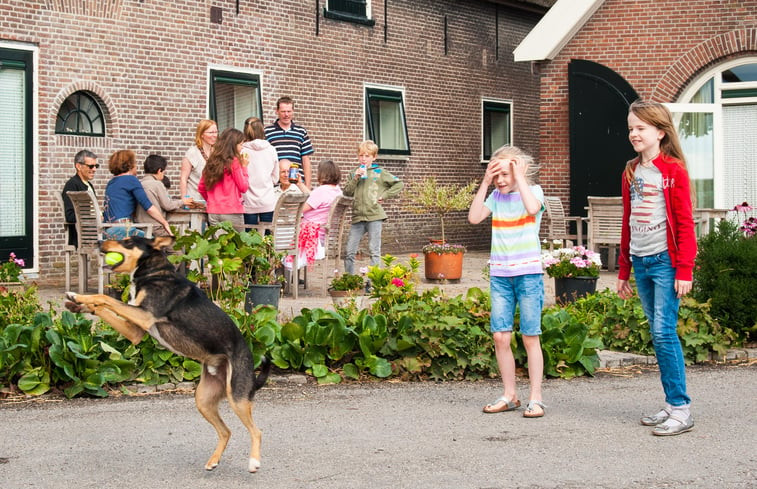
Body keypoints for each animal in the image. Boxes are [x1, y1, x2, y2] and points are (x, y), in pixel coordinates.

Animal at [64, 236, 272, 472]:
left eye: (127, 241)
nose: (99, 241)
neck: (153, 273)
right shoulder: (136, 331)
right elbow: (101, 306)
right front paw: (76, 301)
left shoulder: (144, 315)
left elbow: (105, 298)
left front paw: (80, 298)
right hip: (203, 400)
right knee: (226, 431)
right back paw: (213, 461)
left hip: (237, 397)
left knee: (257, 431)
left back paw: (254, 462)